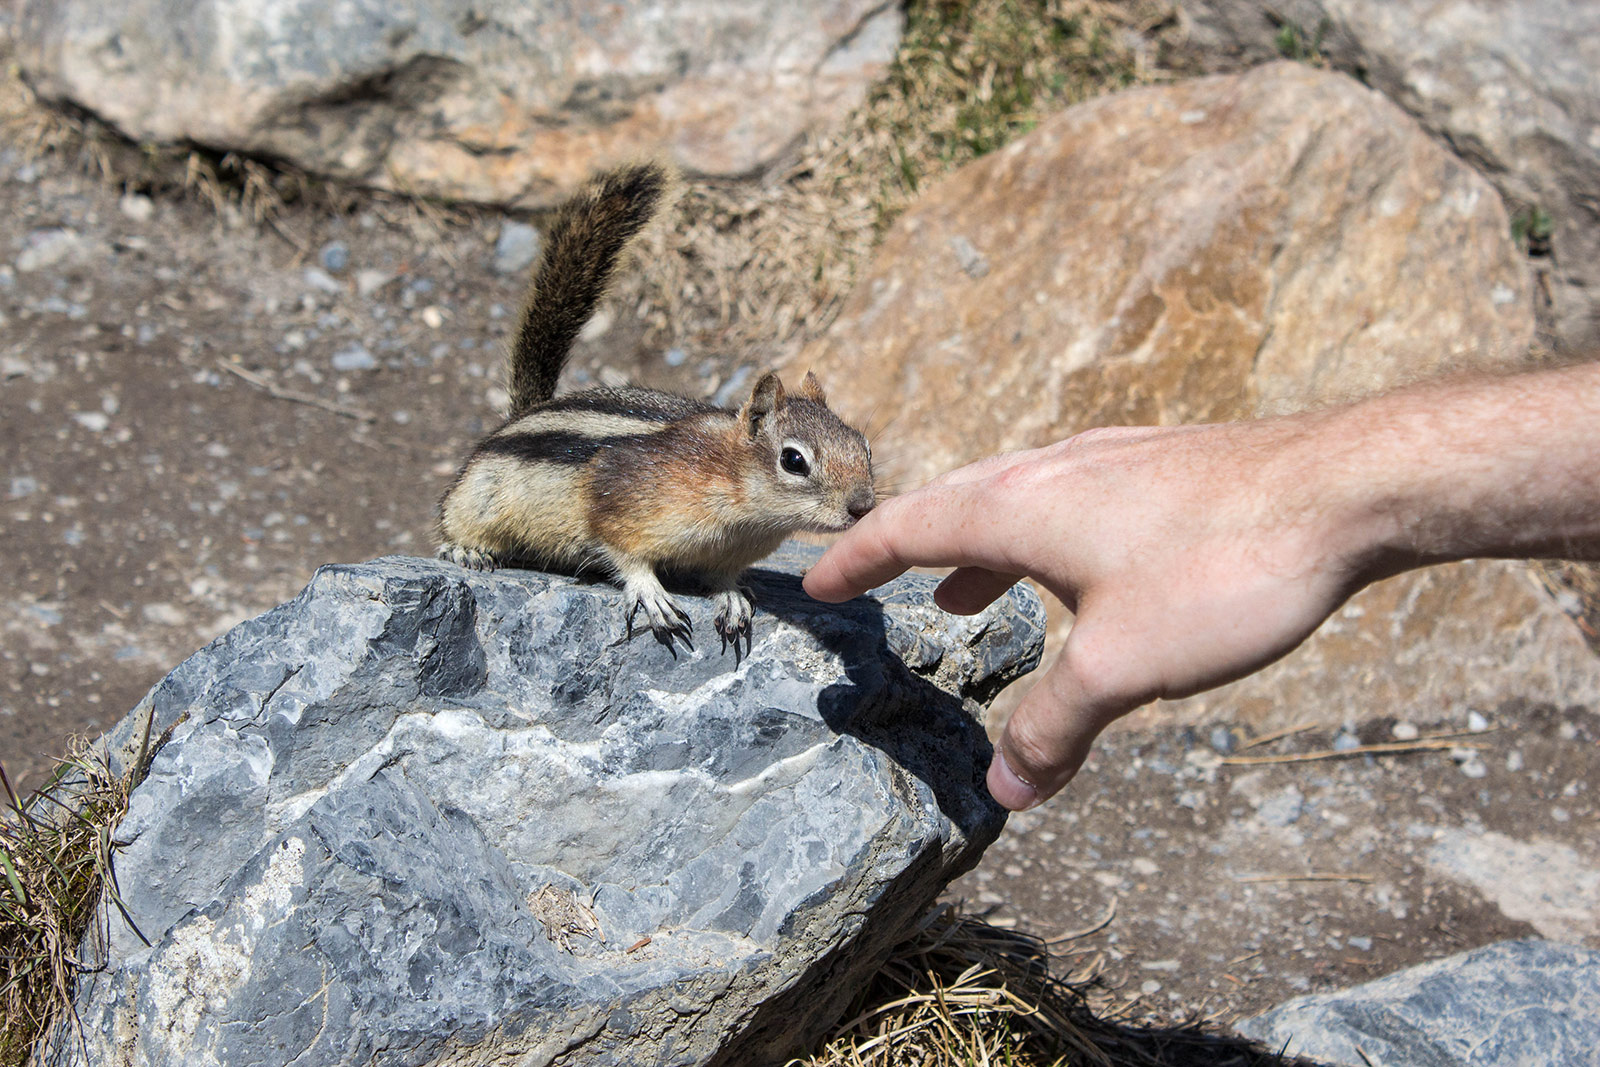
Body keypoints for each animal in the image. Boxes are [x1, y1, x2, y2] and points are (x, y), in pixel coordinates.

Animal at [437, 162, 876, 656]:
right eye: (794, 461)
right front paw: (651, 592)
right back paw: (465, 549)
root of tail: (521, 415)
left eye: (865, 448)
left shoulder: (725, 553)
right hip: (476, 496)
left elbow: (722, 577)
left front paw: (731, 596)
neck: (737, 498)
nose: (863, 507)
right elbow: (624, 553)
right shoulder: (618, 506)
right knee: (455, 523)